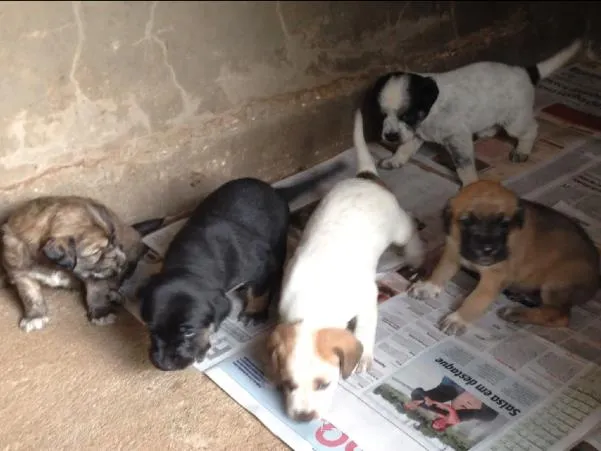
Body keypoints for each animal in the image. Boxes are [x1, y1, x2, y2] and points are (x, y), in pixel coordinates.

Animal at [1, 197, 145, 332]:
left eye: (114, 240)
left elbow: (97, 292)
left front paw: (101, 314)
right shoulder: (20, 271)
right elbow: (30, 296)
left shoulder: (95, 273)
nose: (122, 259)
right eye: (96, 251)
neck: (52, 264)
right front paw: (35, 316)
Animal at [135, 164, 342, 372]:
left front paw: (254, 312)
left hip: (278, 239)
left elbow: (259, 292)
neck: (192, 264)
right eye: (150, 329)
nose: (163, 365)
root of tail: (274, 189)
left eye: (188, 332)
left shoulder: (261, 266)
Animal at [264, 110, 424, 424]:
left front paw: (364, 355)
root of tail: (366, 178)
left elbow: (365, 327)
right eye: (289, 384)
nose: (303, 418)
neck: (315, 306)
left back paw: (416, 253)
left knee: (410, 227)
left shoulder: (367, 297)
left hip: (397, 227)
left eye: (324, 384)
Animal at [356, 39, 580, 185]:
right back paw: (487, 132)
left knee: (531, 129)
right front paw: (395, 160)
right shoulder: (415, 134)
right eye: (382, 115)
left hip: (515, 120)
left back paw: (522, 150)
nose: (390, 136)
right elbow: (404, 149)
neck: (431, 111)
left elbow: (464, 166)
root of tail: (524, 72)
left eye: (407, 115)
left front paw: (471, 184)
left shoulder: (457, 139)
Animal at [408, 180, 600, 336]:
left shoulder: (494, 278)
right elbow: (442, 271)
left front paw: (459, 319)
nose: (488, 250)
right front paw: (428, 286)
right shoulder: (452, 251)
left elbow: (476, 299)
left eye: (504, 224)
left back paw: (517, 313)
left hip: (557, 282)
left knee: (560, 316)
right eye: (466, 221)